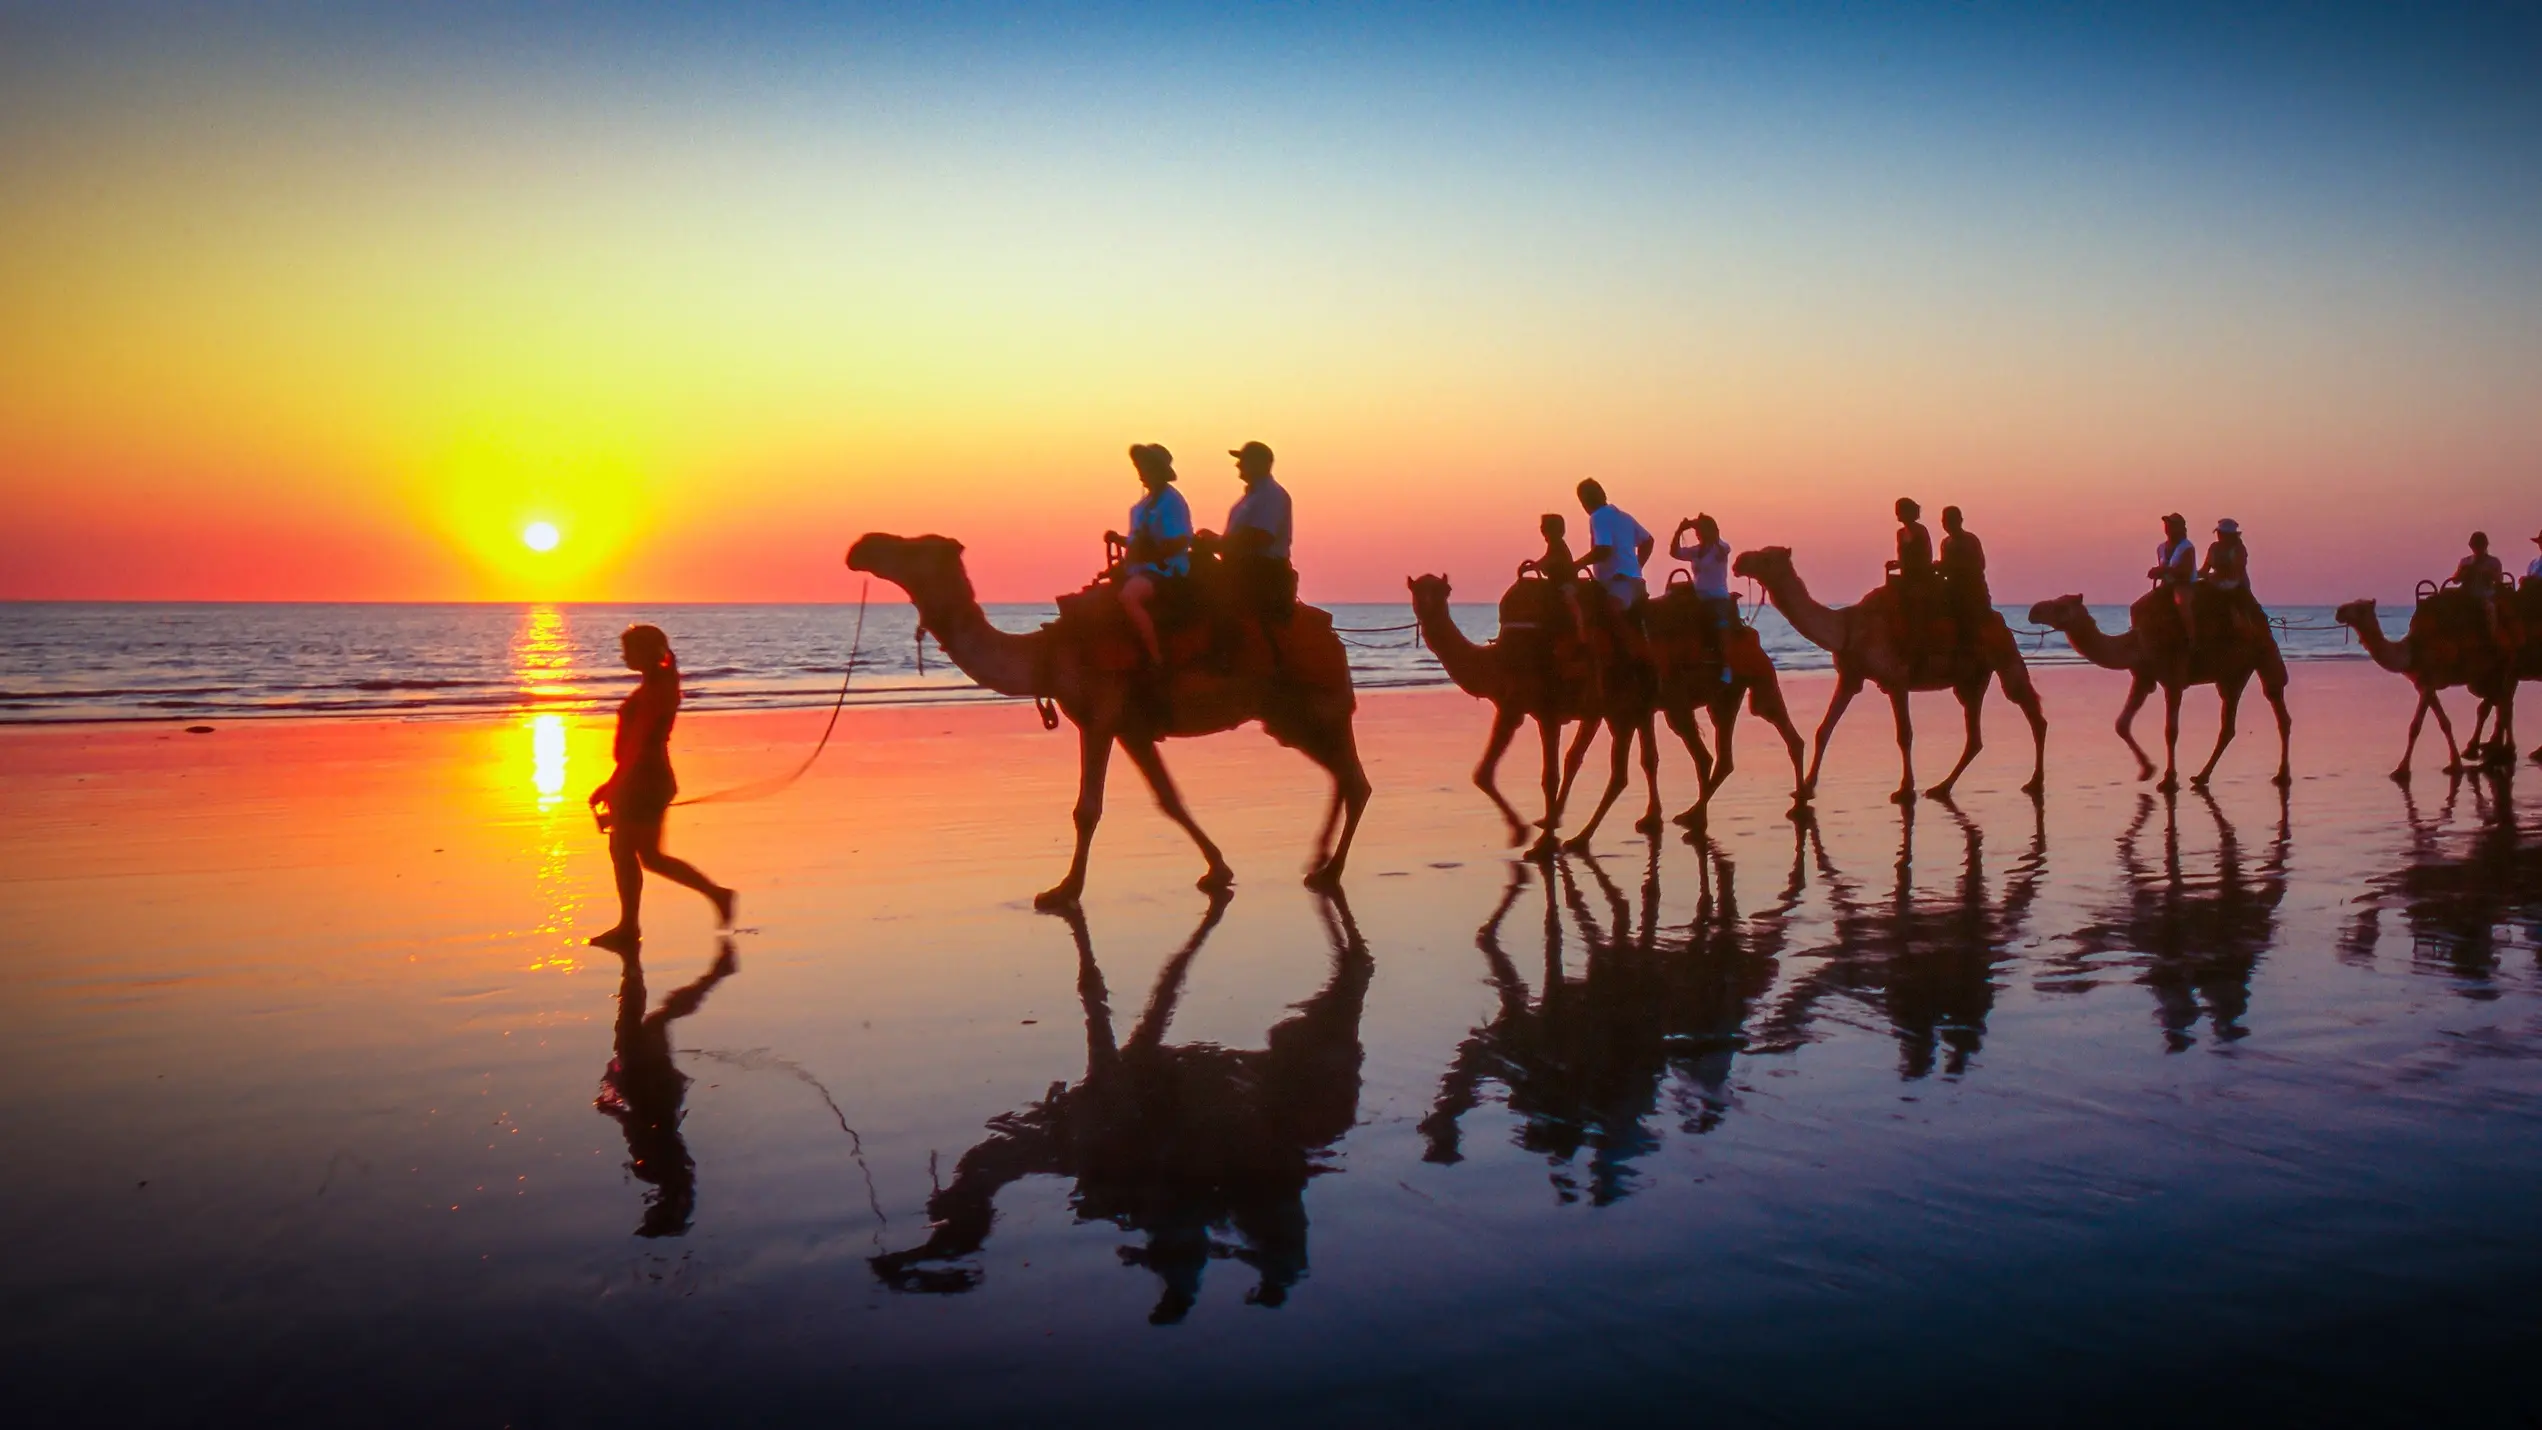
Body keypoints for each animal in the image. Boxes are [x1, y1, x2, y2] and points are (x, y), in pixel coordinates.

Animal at [849, 538, 1372, 904]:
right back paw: (1319, 861)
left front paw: (1062, 891)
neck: (1047, 653)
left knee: (1355, 781)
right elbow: (1169, 799)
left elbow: (1087, 809)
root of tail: (1334, 634)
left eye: (916, 546)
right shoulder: (1132, 729)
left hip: (1314, 703)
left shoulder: (1099, 717)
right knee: (1342, 776)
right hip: (1286, 717)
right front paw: (1217, 870)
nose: (862, 547)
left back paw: (1330, 871)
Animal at [1413, 576, 1667, 858]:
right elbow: (1484, 773)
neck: (1499, 659)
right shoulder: (1512, 709)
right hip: (1624, 707)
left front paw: (1540, 842)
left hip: (1623, 707)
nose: (1427, 610)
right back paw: (1644, 821)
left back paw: (1581, 838)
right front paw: (1524, 833)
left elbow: (1548, 776)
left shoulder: (1543, 712)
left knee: (1621, 772)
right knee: (1640, 758)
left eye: (1444, 591)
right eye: (1415, 591)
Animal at [1728, 546, 2043, 802]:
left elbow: (1904, 735)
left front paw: (1904, 790)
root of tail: (1999, 620)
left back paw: (2034, 782)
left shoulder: (1896, 679)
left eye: (1767, 557)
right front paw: (1805, 788)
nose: (1739, 561)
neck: (1846, 628)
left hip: (2004, 656)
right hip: (1971, 679)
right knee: (1975, 736)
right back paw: (1941, 787)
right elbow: (1823, 729)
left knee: (2031, 710)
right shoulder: (1850, 677)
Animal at [2033, 589, 2297, 792]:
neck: (2137, 643)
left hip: (2264, 651)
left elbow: (2170, 730)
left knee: (2275, 699)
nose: (2033, 610)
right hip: (2232, 674)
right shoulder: (2143, 676)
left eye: (2061, 605)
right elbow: (2122, 723)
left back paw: (2281, 776)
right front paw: (2147, 770)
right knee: (2230, 724)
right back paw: (2202, 777)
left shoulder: (2173, 677)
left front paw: (2168, 780)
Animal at [2328, 596, 2511, 782]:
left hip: (2502, 663)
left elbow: (2415, 726)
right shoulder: (2423, 684)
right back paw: (2492, 753)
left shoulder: (2428, 682)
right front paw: (2455, 764)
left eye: (2361, 608)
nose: (2339, 611)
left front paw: (2401, 771)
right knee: (2499, 702)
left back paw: (2499, 754)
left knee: (2503, 702)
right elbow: (2444, 722)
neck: (2411, 653)